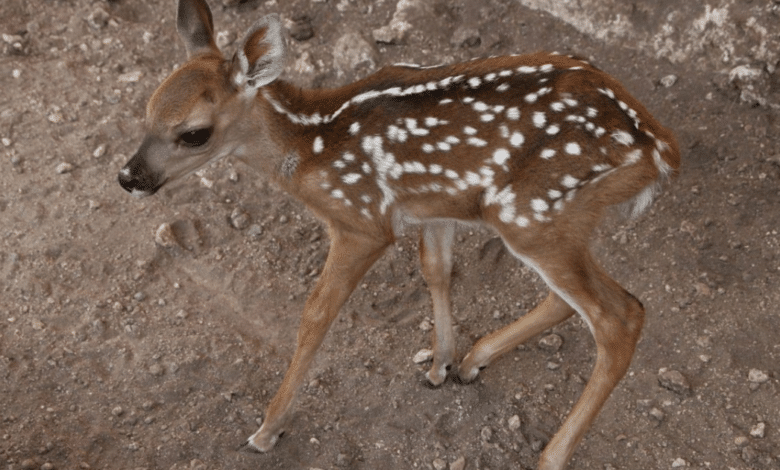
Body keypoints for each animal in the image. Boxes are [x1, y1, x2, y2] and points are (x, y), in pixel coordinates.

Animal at [119, 0, 680, 470]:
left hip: (532, 214)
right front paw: (441, 364)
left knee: (620, 315)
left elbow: (316, 314)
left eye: (194, 133)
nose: (129, 177)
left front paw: (267, 429)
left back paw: (550, 455)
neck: (311, 147)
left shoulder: (363, 221)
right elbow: (436, 270)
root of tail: (659, 151)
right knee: (575, 299)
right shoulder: (434, 206)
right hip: (558, 219)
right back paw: (475, 361)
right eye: (146, 110)